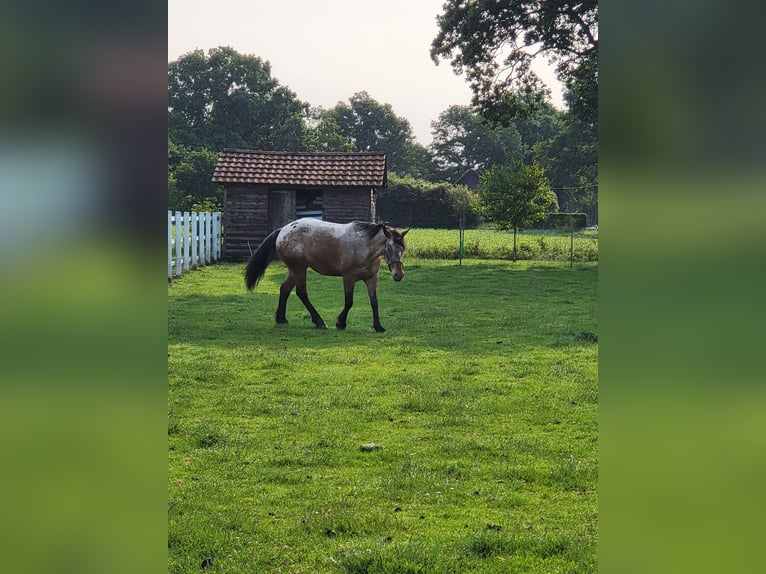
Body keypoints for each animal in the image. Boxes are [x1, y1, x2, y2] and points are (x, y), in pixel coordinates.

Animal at [245, 218, 409, 332]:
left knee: (284, 289)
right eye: (388, 247)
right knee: (301, 292)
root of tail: (282, 230)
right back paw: (319, 322)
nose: (398, 275)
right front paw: (340, 323)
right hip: (299, 268)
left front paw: (378, 326)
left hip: (294, 269)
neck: (364, 247)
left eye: (403, 248)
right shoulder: (348, 277)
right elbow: (349, 301)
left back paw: (281, 319)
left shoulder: (371, 278)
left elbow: (374, 302)